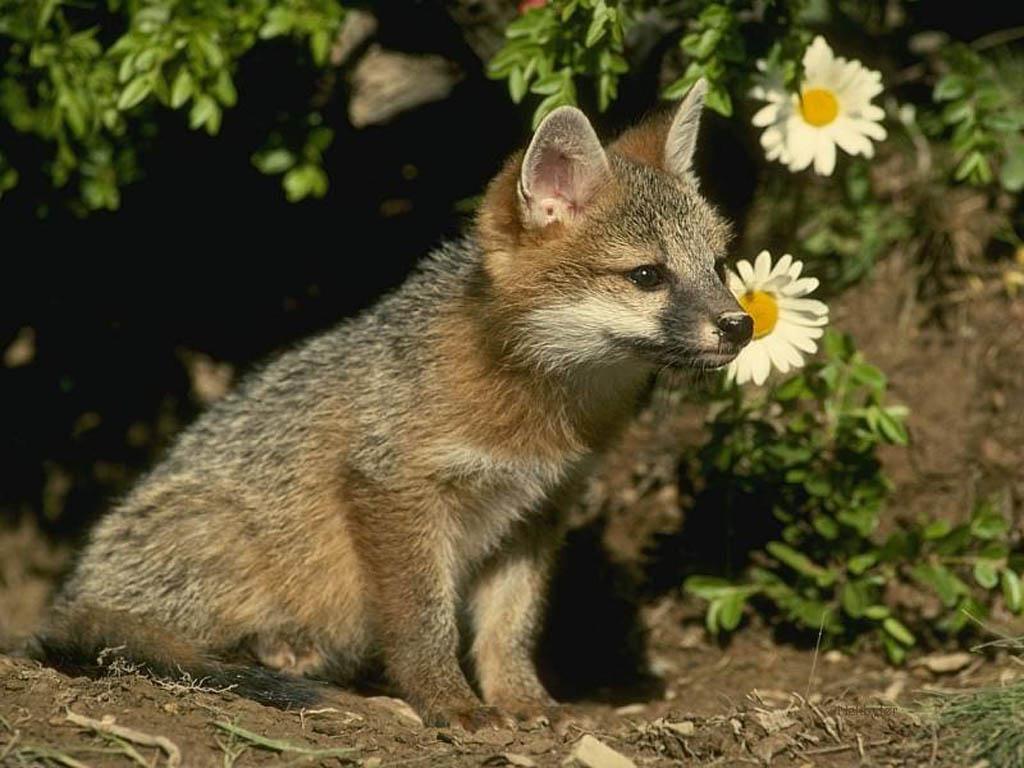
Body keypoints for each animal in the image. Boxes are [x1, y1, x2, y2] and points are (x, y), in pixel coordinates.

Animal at [31, 79, 753, 730]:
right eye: (647, 276)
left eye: (717, 266)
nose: (741, 325)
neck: (537, 415)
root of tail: (75, 593)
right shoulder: (393, 489)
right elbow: (424, 622)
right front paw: (449, 702)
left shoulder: (534, 511)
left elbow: (510, 627)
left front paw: (522, 700)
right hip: (231, 542)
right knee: (169, 645)